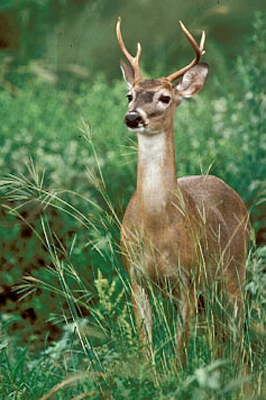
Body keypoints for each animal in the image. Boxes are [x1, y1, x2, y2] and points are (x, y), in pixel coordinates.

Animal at [116, 16, 249, 366]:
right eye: (129, 95)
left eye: (165, 97)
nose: (132, 117)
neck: (155, 224)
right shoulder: (135, 275)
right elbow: (145, 342)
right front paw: (150, 372)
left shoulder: (186, 278)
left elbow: (180, 348)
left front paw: (179, 374)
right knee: (216, 331)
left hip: (235, 267)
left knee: (237, 325)